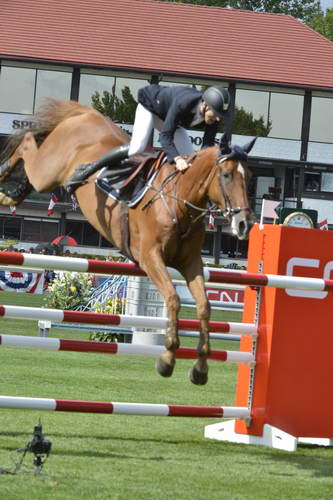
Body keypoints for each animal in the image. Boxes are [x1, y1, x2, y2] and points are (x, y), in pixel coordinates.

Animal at [0, 99, 254, 384]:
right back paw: (5, 181)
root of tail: (85, 114)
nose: (244, 224)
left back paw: (14, 193)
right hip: (48, 172)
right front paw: (167, 359)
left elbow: (204, 307)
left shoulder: (190, 263)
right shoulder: (150, 258)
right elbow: (173, 299)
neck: (178, 200)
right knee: (27, 143)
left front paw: (200, 368)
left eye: (249, 177)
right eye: (227, 175)